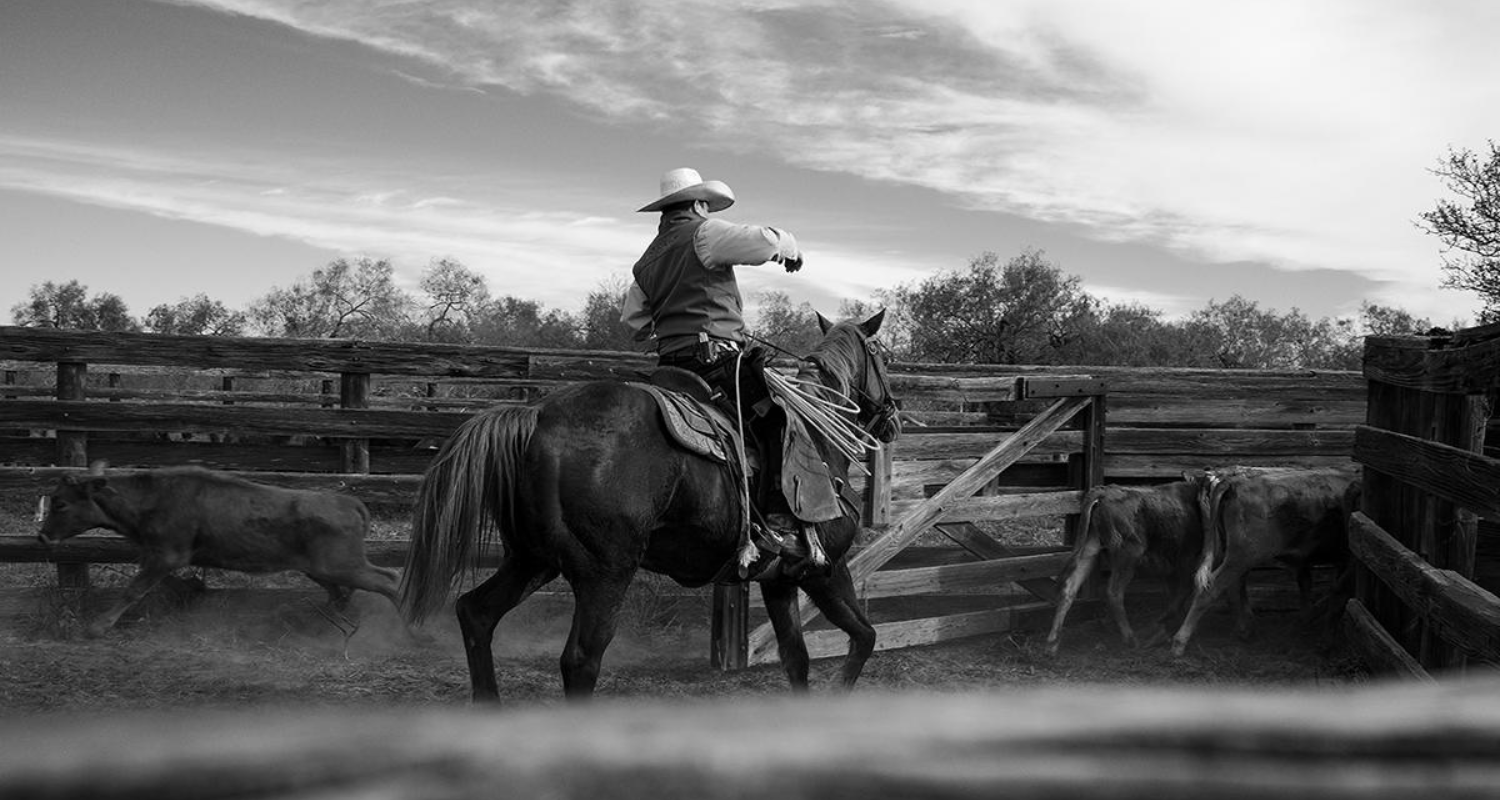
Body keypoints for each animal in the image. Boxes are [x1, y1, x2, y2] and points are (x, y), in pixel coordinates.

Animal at [398, 311, 901, 701]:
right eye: (883, 357)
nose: (894, 416)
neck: (820, 437)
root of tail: (537, 417)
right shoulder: (827, 569)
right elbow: (864, 636)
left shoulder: (780, 580)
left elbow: (797, 658)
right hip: (604, 574)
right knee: (580, 660)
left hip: (532, 559)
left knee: (476, 614)